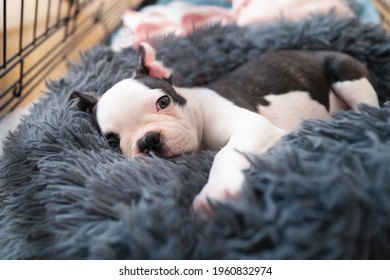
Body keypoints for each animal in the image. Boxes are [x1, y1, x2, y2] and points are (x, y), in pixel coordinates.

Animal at [70, 43, 378, 210]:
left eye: (163, 101)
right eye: (112, 142)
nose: (148, 140)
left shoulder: (252, 125)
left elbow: (225, 154)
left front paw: (216, 194)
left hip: (345, 74)